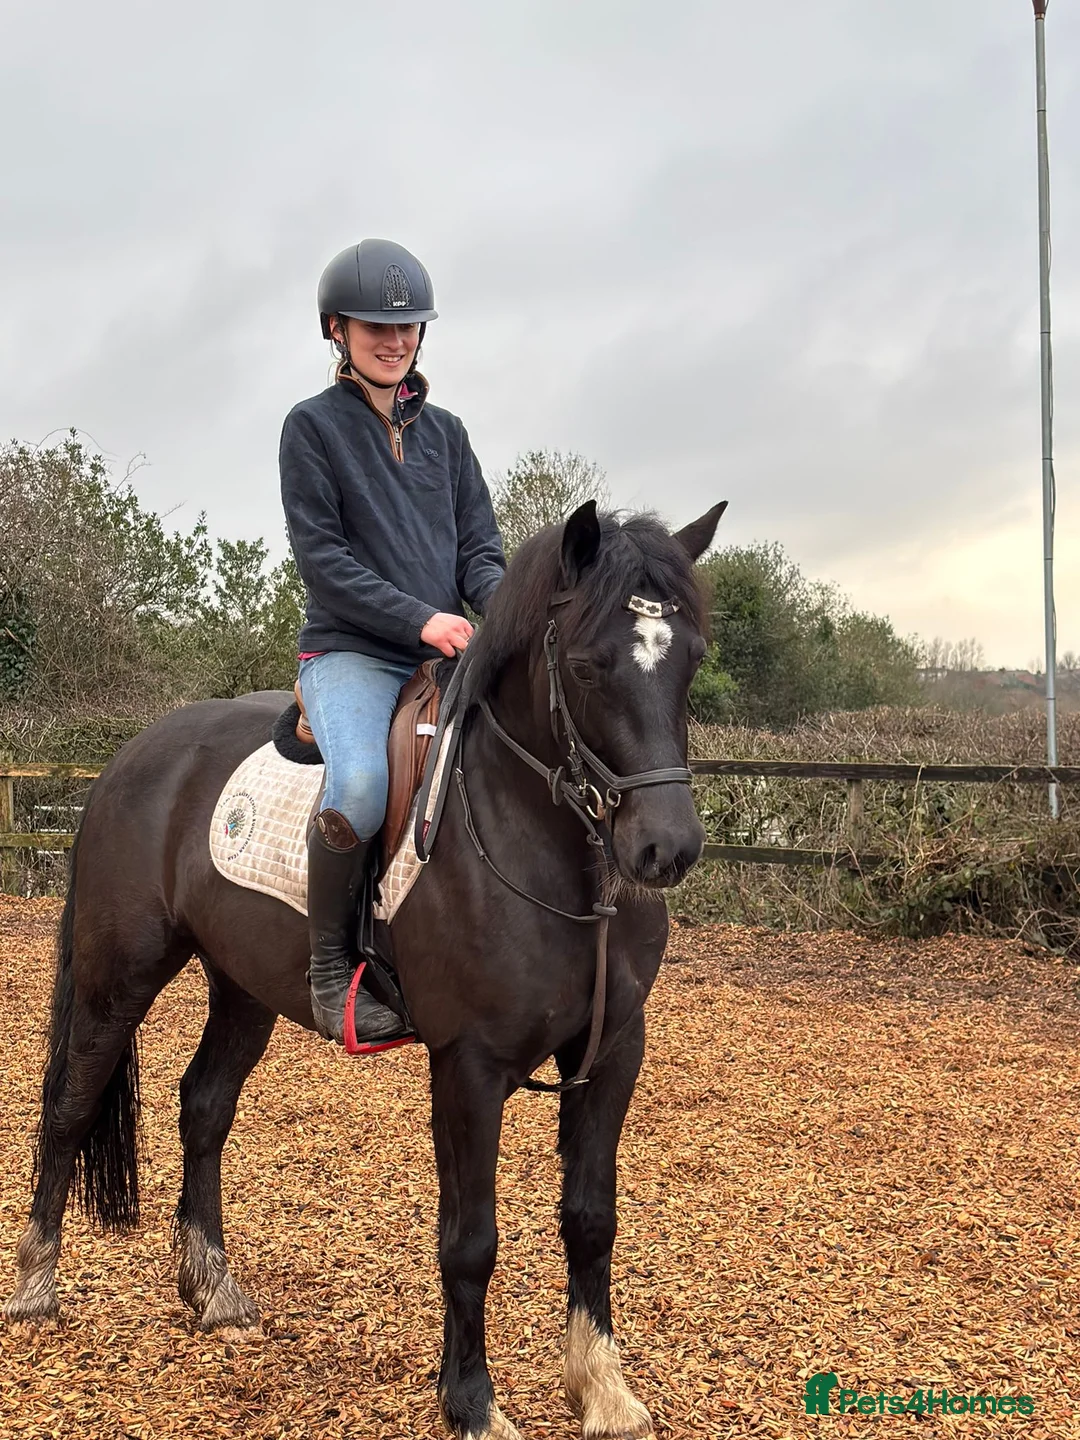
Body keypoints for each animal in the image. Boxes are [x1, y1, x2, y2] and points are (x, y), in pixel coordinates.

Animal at [5, 498, 725, 1440]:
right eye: (586, 665)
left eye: (690, 659)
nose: (663, 849)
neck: (546, 852)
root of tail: (132, 754)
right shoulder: (469, 1067)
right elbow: (471, 1240)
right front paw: (473, 1404)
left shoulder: (611, 1055)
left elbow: (591, 1219)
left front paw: (602, 1387)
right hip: (116, 976)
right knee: (68, 1106)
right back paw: (36, 1288)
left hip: (243, 988)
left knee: (203, 1107)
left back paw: (214, 1292)